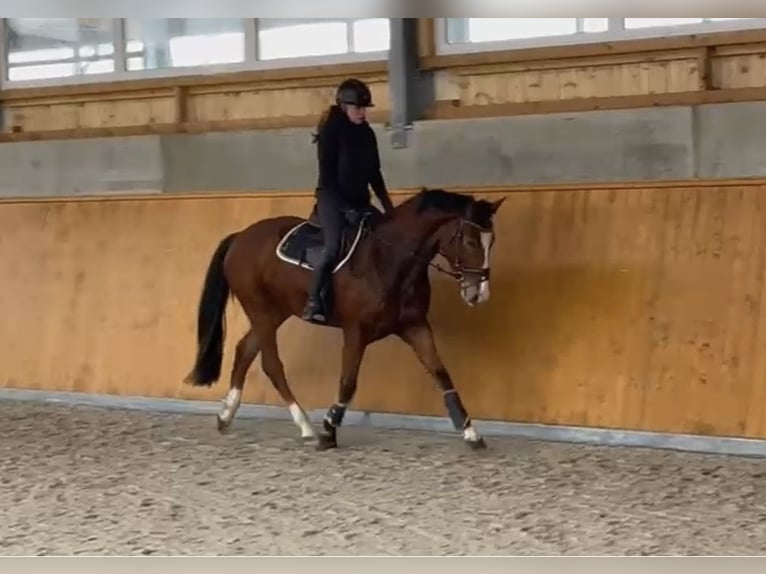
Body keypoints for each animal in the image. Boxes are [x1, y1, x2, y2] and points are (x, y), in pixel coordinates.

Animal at [183, 186, 505, 450]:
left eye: (492, 242)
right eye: (471, 241)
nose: (479, 294)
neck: (389, 260)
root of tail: (241, 237)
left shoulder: (414, 326)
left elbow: (440, 372)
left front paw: (470, 432)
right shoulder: (356, 330)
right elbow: (348, 382)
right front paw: (328, 429)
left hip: (274, 312)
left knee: (245, 350)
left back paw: (226, 415)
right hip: (260, 310)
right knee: (271, 364)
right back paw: (306, 426)